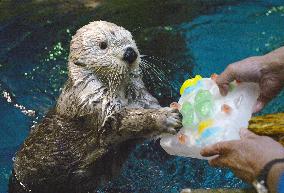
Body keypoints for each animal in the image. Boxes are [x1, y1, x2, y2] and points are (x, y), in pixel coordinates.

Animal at [9, 21, 182, 193]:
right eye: (103, 45)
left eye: (131, 38)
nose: (130, 53)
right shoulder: (93, 105)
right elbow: (122, 123)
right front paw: (166, 117)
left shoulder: (141, 99)